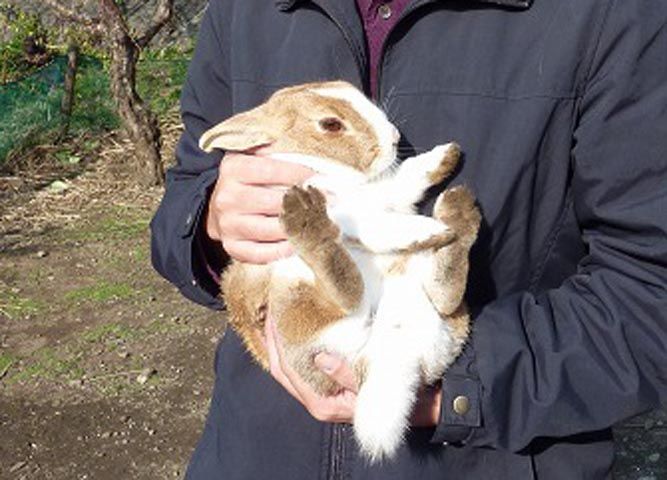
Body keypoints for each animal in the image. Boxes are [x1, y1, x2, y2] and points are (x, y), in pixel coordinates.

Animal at [199, 80, 481, 462]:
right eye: (330, 124)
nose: (394, 137)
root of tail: (388, 352)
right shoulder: (349, 215)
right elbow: (379, 223)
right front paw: (424, 227)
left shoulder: (385, 194)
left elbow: (404, 179)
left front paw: (445, 156)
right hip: (298, 299)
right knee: (347, 295)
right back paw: (310, 223)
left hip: (433, 301)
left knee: (445, 297)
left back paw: (457, 216)